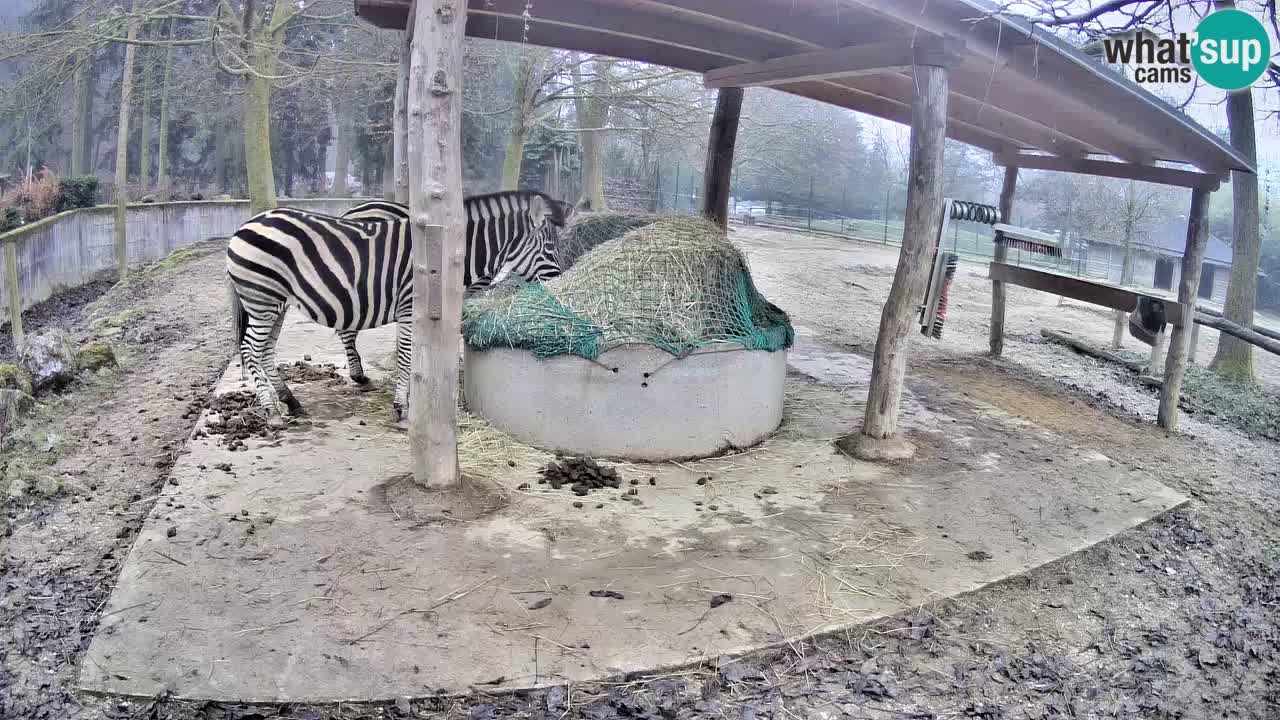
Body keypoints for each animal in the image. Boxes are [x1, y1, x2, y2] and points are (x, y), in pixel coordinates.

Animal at [226, 190, 572, 422]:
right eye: (550, 247)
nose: (561, 280)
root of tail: (244, 225)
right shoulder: (410, 307)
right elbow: (407, 358)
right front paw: (403, 407)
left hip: (276, 303)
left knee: (266, 350)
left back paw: (290, 401)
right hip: (263, 299)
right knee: (250, 349)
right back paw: (271, 411)